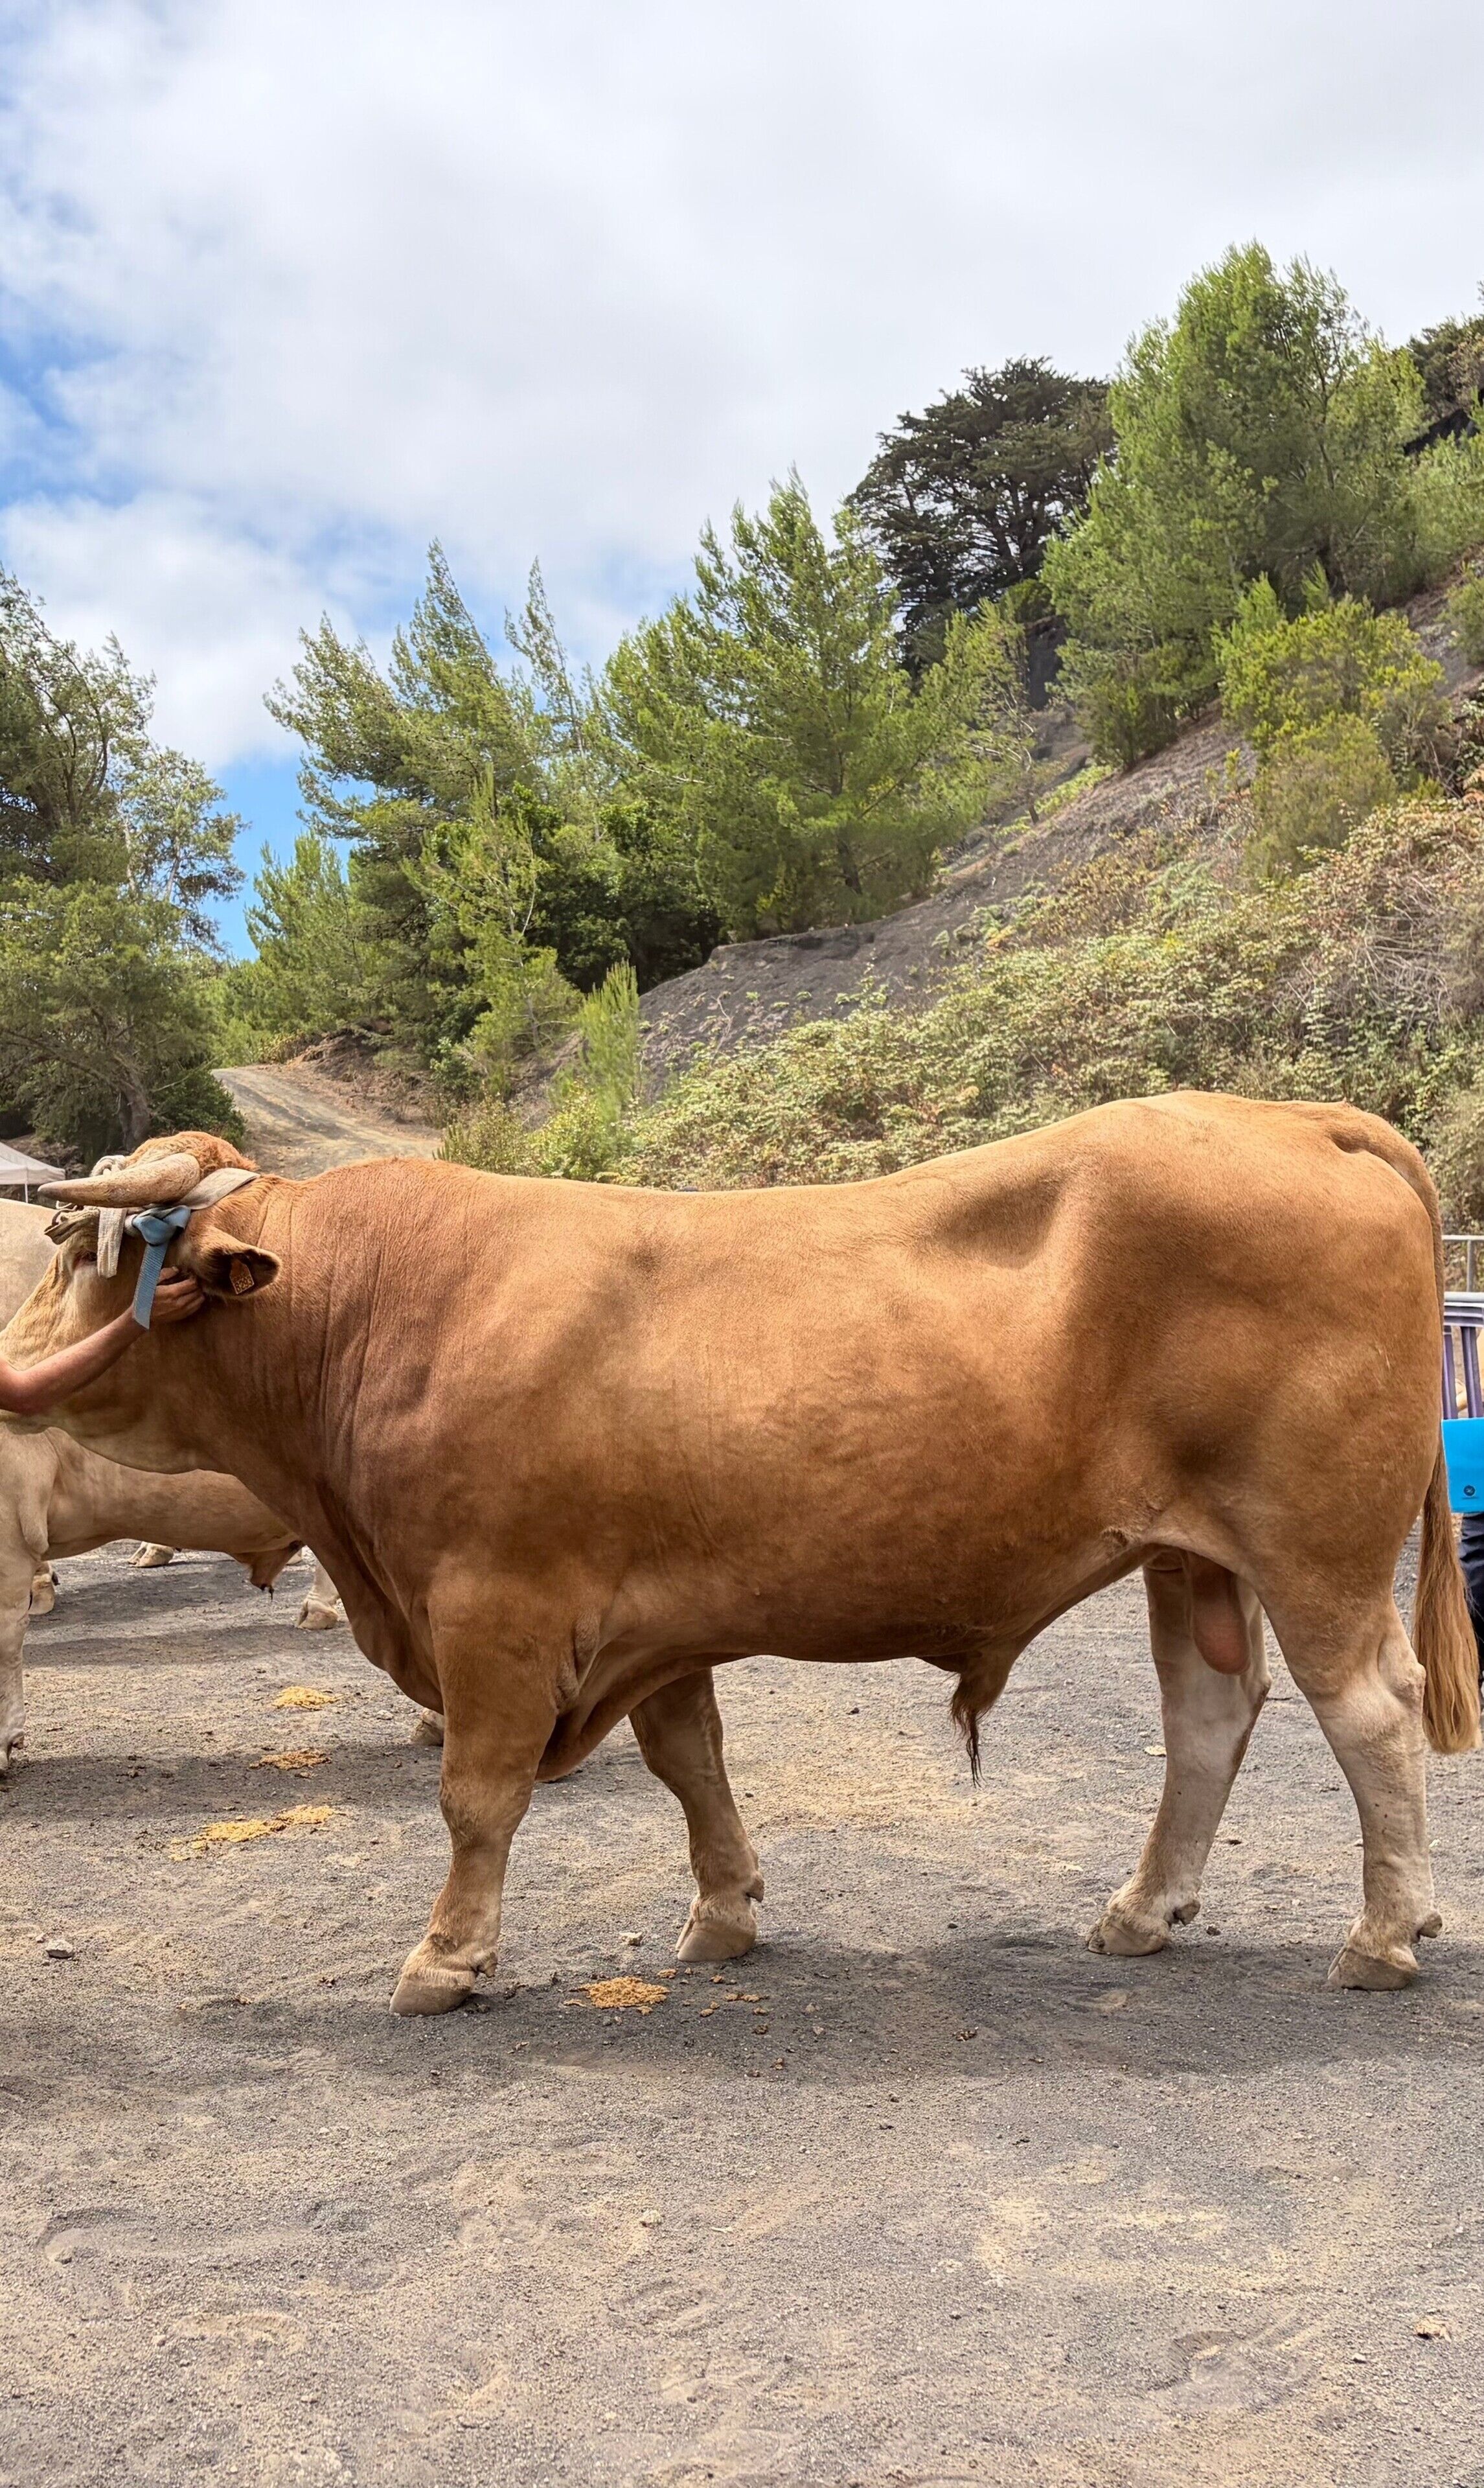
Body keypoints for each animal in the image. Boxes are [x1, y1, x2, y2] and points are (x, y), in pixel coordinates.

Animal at [12, 1095, 1477, 2017]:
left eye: (88, 1251)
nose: (12, 1361)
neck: (376, 1308)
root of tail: (1293, 1115)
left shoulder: (494, 1607)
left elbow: (476, 1797)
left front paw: (445, 1959)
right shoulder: (649, 1618)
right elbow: (691, 1765)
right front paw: (724, 1916)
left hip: (1314, 1546)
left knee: (1369, 1712)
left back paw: (1381, 1936)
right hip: (1192, 1556)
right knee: (1207, 1716)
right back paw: (1141, 1910)